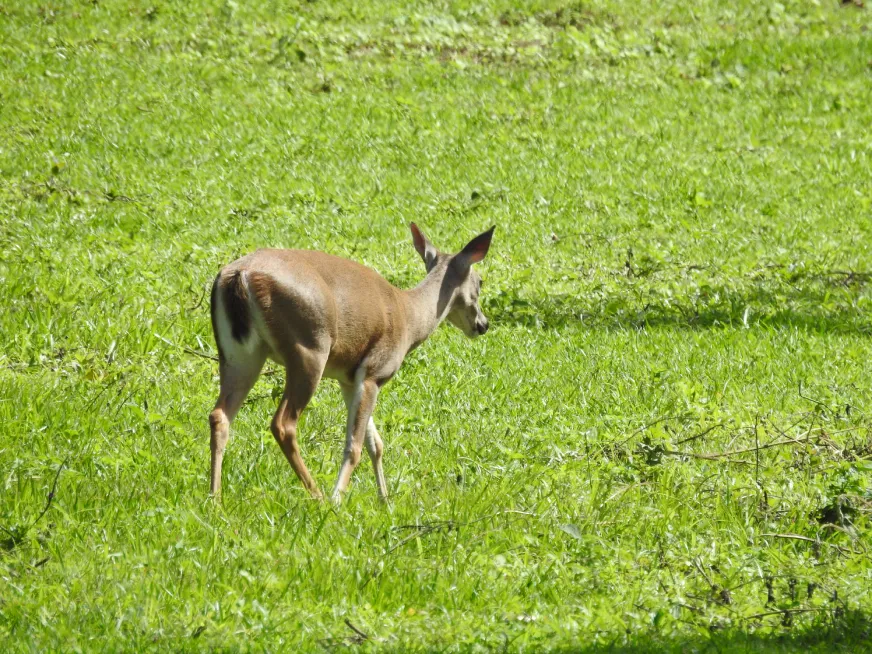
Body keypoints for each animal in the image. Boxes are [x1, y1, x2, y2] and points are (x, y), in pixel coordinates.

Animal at [208, 223, 495, 504]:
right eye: (480, 281)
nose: (483, 324)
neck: (410, 317)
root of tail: (241, 275)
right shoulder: (374, 372)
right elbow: (355, 445)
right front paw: (338, 499)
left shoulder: (349, 379)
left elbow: (375, 443)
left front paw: (384, 501)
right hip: (309, 349)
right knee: (283, 424)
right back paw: (318, 496)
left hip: (238, 354)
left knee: (219, 416)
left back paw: (214, 498)